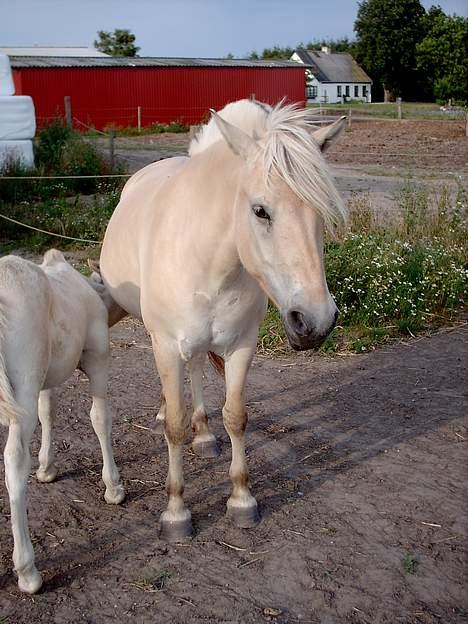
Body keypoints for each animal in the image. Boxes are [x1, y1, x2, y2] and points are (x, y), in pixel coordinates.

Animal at [99, 100, 348, 544]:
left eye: (319, 212)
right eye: (260, 210)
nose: (316, 320)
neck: (206, 257)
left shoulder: (241, 346)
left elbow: (236, 416)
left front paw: (242, 499)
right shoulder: (166, 344)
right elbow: (174, 426)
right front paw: (176, 512)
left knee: (197, 371)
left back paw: (203, 434)